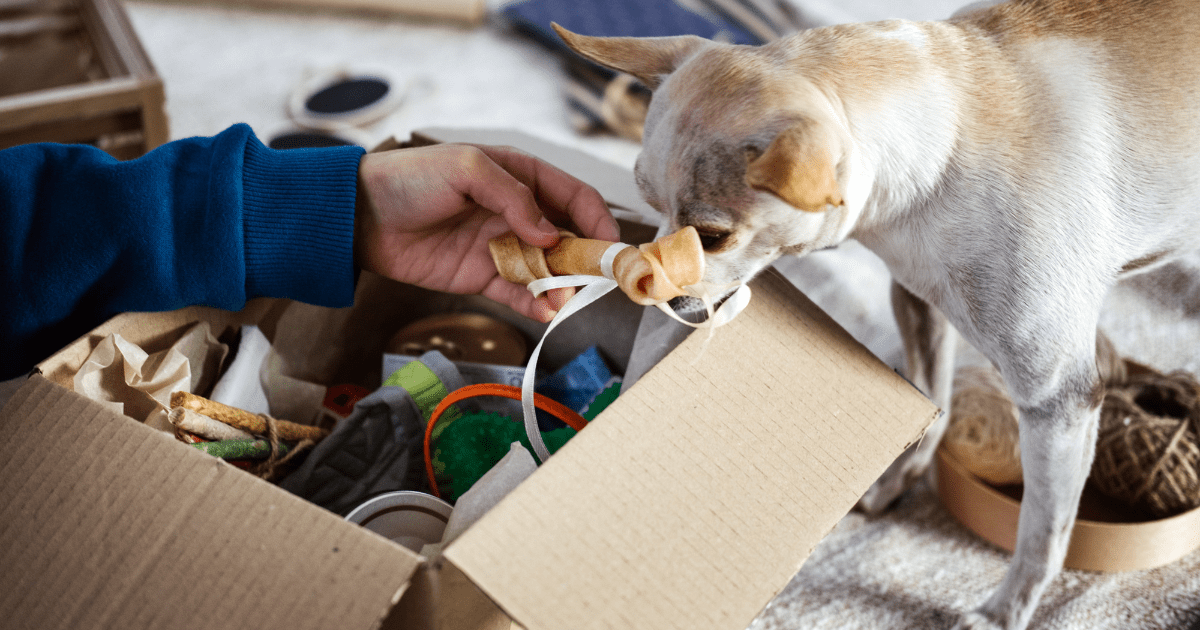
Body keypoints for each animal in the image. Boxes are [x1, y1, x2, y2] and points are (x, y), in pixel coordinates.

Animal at [552, 2, 1200, 624]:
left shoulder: (1061, 401)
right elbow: (934, 407)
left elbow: (1043, 535)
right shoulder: (919, 303)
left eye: (711, 237)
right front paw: (895, 481)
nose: (661, 300)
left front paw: (1004, 613)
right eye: (648, 205)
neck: (948, 144)